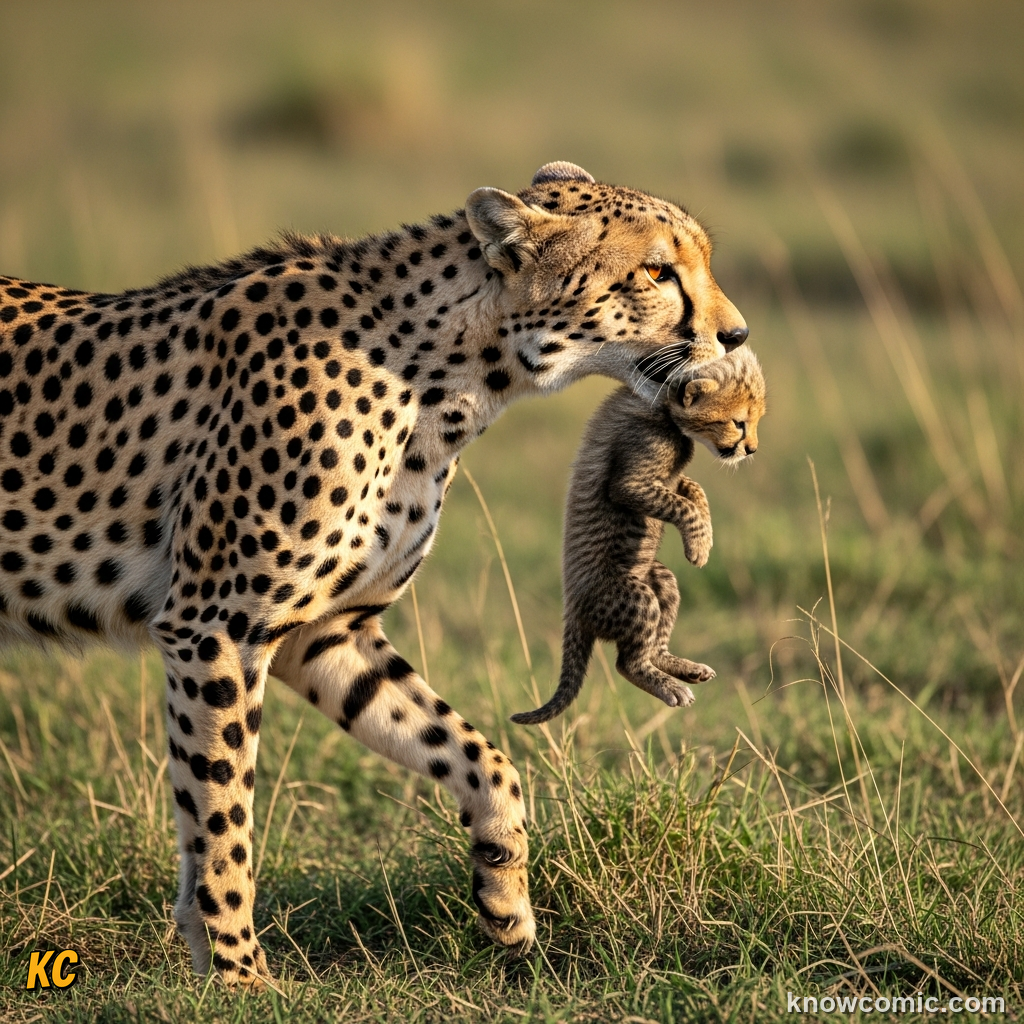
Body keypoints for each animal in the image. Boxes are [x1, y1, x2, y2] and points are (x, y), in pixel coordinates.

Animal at [511, 345, 765, 725]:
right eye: (738, 422)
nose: (751, 450)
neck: (663, 408)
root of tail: (573, 611)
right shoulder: (630, 482)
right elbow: (684, 505)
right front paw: (699, 546)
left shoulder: (672, 480)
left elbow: (696, 492)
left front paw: (703, 540)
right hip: (633, 596)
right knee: (627, 663)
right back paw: (671, 687)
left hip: (660, 579)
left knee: (653, 645)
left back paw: (686, 669)